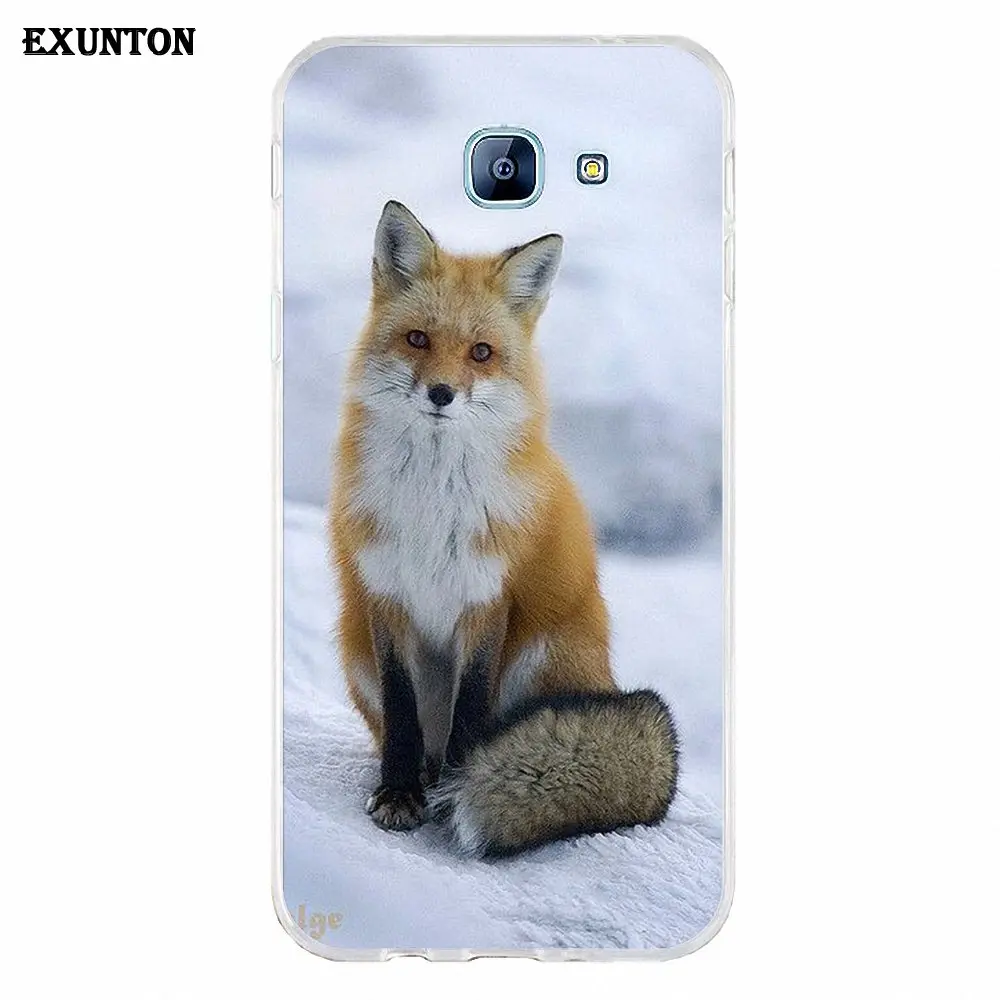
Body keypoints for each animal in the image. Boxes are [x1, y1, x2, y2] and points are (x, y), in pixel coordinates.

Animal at [328, 200, 679, 857]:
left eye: (481, 353)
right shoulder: (386, 596)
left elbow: (470, 710)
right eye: (418, 339)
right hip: (353, 645)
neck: (432, 504)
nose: (441, 393)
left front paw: (455, 792)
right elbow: (402, 712)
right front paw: (398, 795)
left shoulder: (488, 598)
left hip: (538, 655)